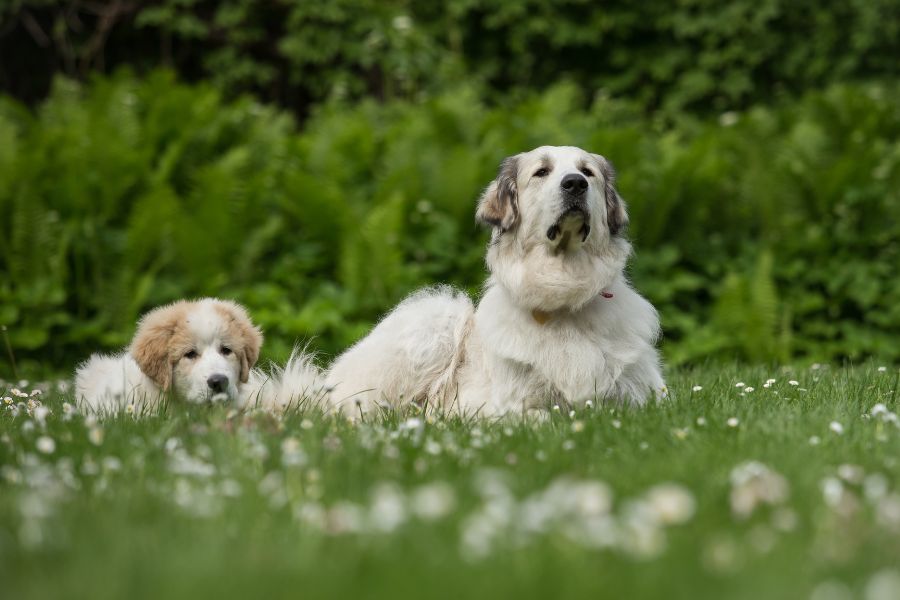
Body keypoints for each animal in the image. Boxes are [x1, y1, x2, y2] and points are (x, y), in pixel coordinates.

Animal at [326, 145, 664, 418]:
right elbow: (544, 418)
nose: (575, 183)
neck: (565, 294)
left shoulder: (642, 399)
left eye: (587, 172)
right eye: (542, 172)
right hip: (438, 316)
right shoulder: (506, 408)